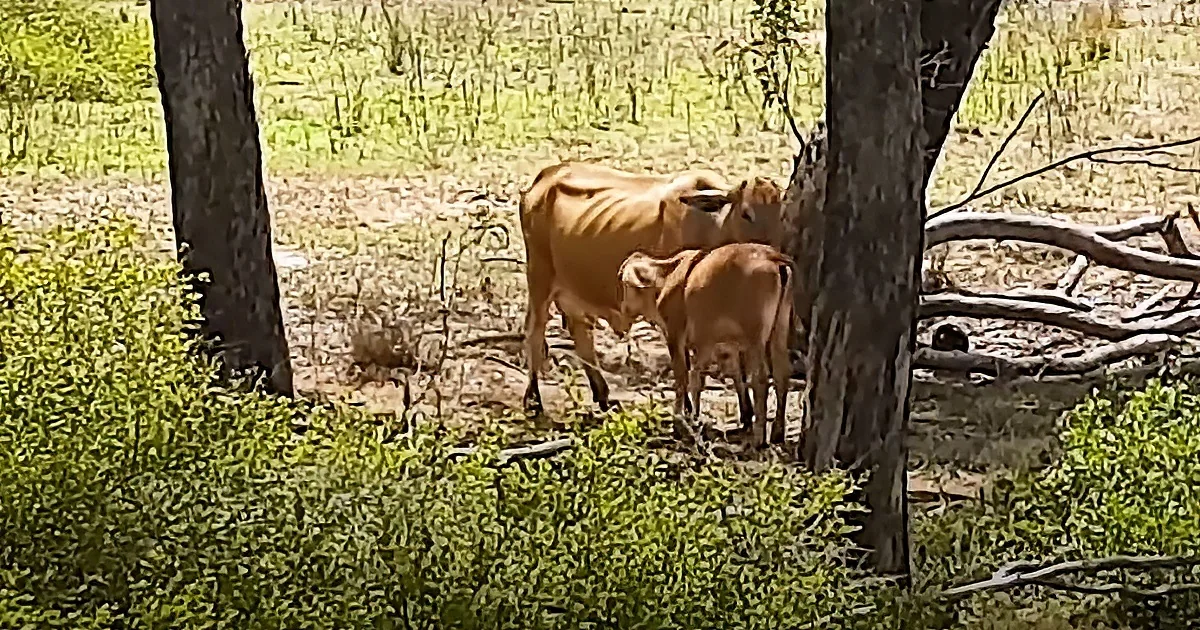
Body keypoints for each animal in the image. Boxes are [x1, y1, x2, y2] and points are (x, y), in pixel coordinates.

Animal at [518, 161, 784, 416]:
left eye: (780, 215)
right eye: (746, 214)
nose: (770, 248)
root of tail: (546, 176)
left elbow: (732, 359)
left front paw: (746, 412)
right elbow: (686, 365)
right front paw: (688, 409)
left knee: (581, 333)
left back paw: (602, 395)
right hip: (539, 274)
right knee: (535, 330)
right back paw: (533, 398)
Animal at [616, 243, 796, 447]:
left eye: (623, 283)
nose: (623, 308)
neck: (665, 279)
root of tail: (772, 256)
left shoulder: (676, 334)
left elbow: (683, 377)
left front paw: (679, 421)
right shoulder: (720, 345)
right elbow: (728, 376)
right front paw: (743, 416)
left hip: (755, 335)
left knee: (760, 378)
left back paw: (759, 438)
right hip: (779, 328)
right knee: (781, 374)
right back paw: (777, 432)